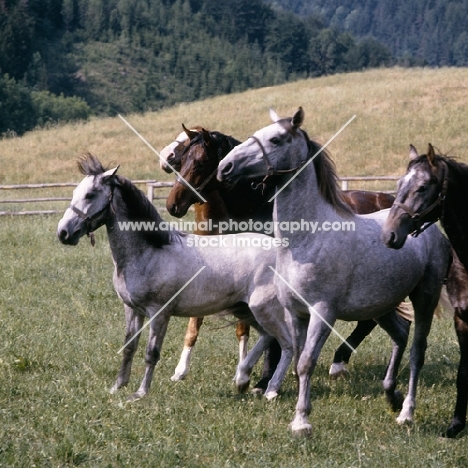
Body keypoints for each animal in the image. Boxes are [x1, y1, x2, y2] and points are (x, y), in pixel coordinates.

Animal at [56, 154, 292, 402]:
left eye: (90, 194)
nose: (63, 233)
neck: (150, 252)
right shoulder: (132, 309)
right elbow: (129, 347)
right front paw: (117, 387)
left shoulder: (159, 312)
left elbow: (151, 353)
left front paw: (140, 393)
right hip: (245, 309)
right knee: (268, 337)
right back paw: (242, 380)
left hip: (264, 308)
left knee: (287, 344)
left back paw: (271, 390)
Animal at [218, 108, 452, 436]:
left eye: (276, 139)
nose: (224, 167)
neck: (306, 239)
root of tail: (428, 228)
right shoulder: (296, 313)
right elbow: (297, 358)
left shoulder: (322, 312)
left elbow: (306, 362)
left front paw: (301, 421)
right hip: (381, 306)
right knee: (400, 333)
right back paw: (390, 396)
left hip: (425, 296)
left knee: (417, 348)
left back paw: (406, 411)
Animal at [382, 144, 468, 438]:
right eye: (398, 184)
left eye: (422, 187)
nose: (389, 235)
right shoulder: (462, 319)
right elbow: (463, 371)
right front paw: (455, 425)